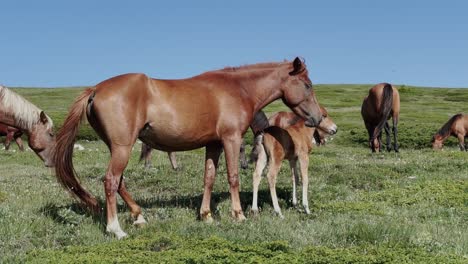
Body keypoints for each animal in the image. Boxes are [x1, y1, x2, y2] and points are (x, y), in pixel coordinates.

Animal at [52, 58, 322, 239]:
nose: (317, 118)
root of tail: (95, 89)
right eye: (307, 85)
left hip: (118, 148)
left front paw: (207, 215)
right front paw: (238, 214)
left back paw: (139, 216)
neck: (238, 89)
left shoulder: (213, 144)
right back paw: (115, 228)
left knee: (119, 182)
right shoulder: (231, 140)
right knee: (111, 180)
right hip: (122, 148)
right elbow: (233, 177)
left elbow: (209, 178)